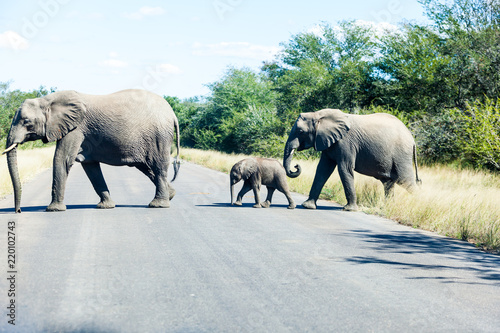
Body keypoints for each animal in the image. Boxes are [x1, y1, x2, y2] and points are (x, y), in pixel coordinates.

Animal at [3, 89, 181, 213]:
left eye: (26, 121)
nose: (18, 211)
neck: (47, 100)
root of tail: (173, 114)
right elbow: (91, 167)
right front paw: (106, 206)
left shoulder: (75, 129)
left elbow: (61, 159)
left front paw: (53, 210)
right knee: (145, 167)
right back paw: (171, 195)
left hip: (159, 136)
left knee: (157, 166)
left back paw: (158, 205)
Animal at [284, 110, 420, 211]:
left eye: (301, 131)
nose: (296, 166)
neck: (318, 115)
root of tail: (412, 139)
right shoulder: (328, 142)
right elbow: (322, 170)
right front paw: (308, 206)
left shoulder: (346, 143)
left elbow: (344, 169)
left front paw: (349, 209)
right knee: (388, 183)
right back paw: (387, 208)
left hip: (401, 154)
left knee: (405, 180)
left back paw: (417, 205)